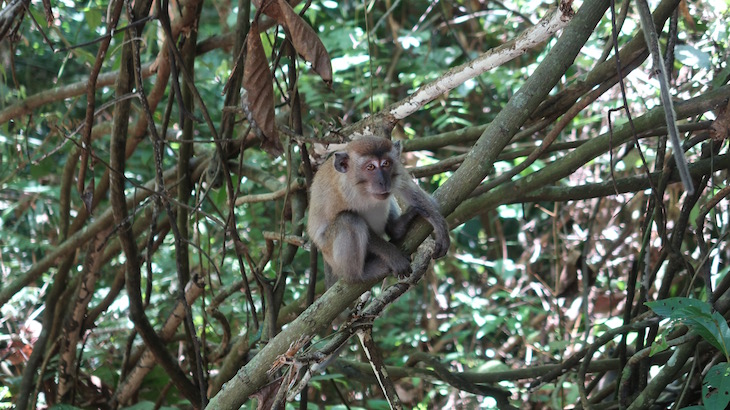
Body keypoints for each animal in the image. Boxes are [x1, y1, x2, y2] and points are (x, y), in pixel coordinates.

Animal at [302, 136, 450, 284]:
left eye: (386, 164)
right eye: (370, 167)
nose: (383, 181)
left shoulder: (396, 170)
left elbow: (409, 189)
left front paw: (439, 225)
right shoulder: (342, 190)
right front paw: (392, 255)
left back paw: (397, 228)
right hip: (333, 257)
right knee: (349, 219)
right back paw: (360, 275)